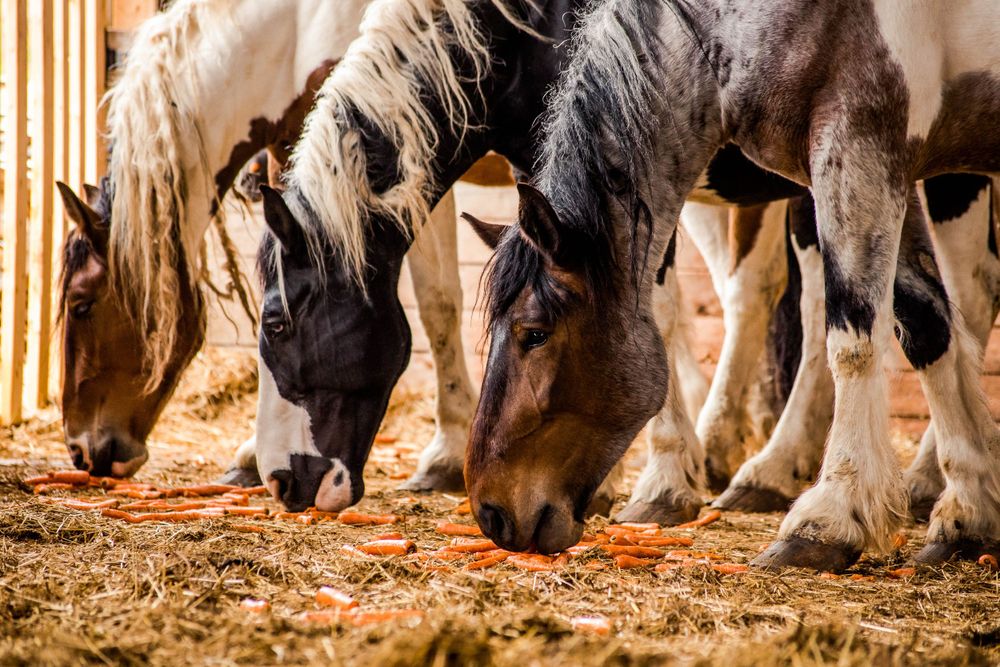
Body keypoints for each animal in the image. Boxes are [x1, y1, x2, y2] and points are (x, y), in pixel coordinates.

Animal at [465, 0, 1000, 569]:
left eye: (535, 333)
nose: (490, 513)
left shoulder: (861, 148)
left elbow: (852, 343)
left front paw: (829, 518)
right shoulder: (888, 169)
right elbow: (926, 324)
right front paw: (969, 512)